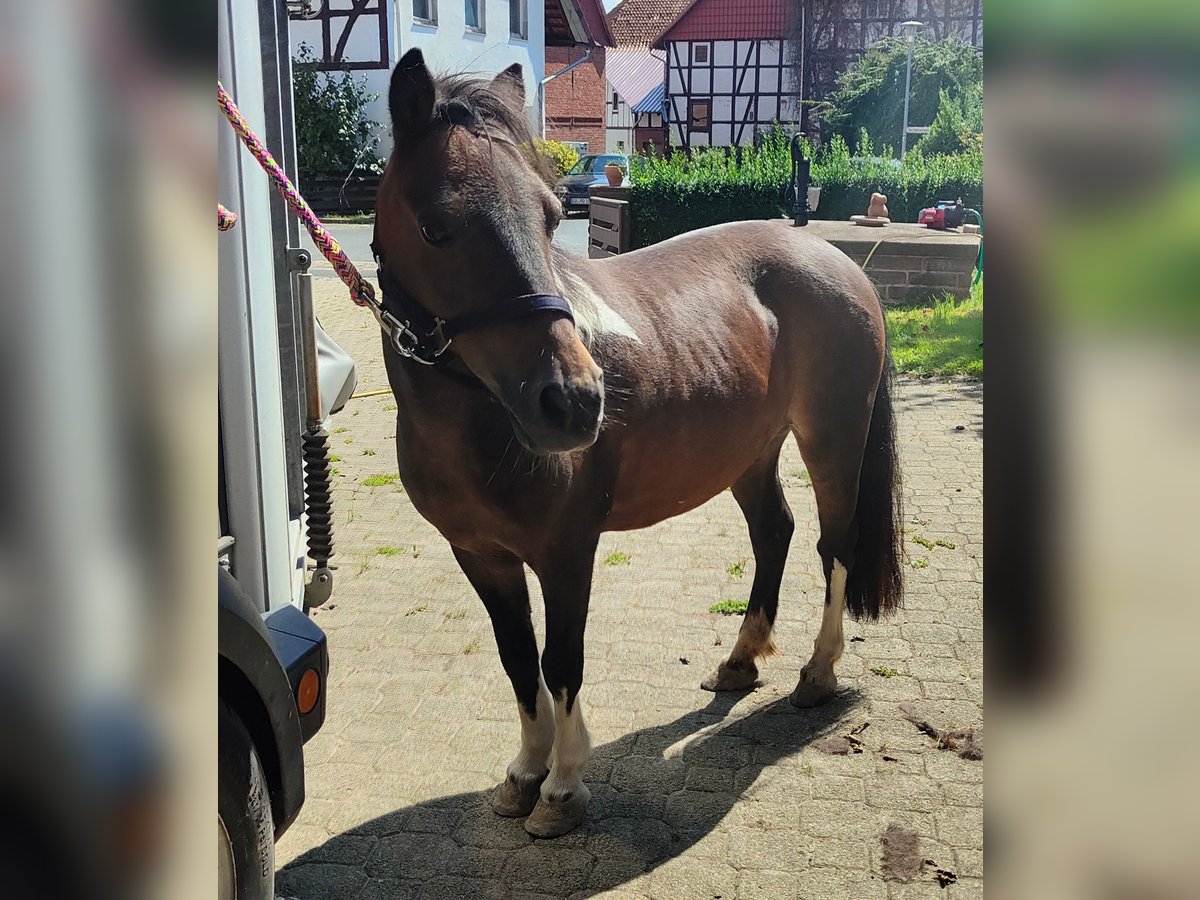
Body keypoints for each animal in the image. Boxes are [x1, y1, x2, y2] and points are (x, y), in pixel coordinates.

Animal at [374, 49, 902, 840]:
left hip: (832, 441)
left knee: (832, 546)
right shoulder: (479, 556)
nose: (574, 401)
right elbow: (516, 659)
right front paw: (523, 773)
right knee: (774, 531)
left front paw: (562, 787)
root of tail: (834, 259)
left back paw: (817, 673)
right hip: (750, 452)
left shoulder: (567, 552)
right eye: (435, 226)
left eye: (551, 216)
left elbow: (561, 661)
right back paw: (741, 660)